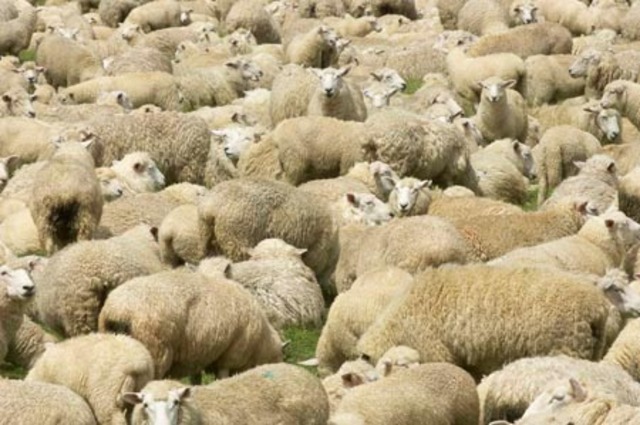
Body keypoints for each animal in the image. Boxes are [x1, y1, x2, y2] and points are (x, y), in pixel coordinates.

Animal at [99, 264, 283, 380]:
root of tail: (119, 310)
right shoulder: (230, 354)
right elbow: (222, 378)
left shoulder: (198, 355)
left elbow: (196, 380)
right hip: (156, 351)